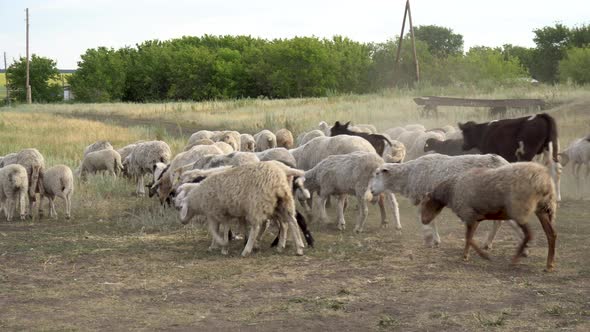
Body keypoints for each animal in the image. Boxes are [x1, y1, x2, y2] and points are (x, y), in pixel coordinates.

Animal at [179, 161, 308, 256]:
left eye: (181, 207)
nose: (182, 221)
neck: (199, 197)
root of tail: (278, 178)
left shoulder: (216, 213)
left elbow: (215, 230)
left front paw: (221, 244)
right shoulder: (225, 214)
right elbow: (227, 228)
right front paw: (221, 246)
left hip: (256, 204)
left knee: (257, 227)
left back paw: (247, 249)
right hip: (282, 202)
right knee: (291, 221)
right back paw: (298, 248)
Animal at [372, 153, 520, 246]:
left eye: (377, 173)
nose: (372, 191)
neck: (408, 176)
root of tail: (505, 163)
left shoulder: (425, 198)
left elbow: (428, 219)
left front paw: (431, 239)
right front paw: (433, 239)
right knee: (499, 222)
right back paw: (488, 243)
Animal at [424, 162, 556, 272]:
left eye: (425, 204)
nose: (423, 221)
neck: (451, 190)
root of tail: (544, 180)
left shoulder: (469, 215)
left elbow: (468, 238)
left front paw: (483, 255)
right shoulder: (475, 217)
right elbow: (469, 238)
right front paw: (465, 255)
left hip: (520, 209)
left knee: (529, 235)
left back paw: (514, 261)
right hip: (542, 209)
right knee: (551, 234)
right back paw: (549, 265)